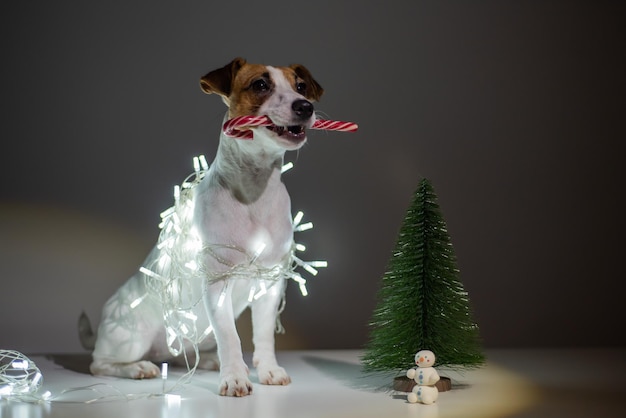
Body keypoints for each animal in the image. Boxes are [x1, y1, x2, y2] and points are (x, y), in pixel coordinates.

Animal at [80, 58, 324, 396]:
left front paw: (268, 369)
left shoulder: (269, 284)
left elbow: (263, 335)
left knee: (181, 355)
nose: (305, 106)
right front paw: (234, 377)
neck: (255, 191)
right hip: (130, 336)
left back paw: (206, 360)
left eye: (300, 86)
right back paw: (139, 367)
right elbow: (231, 336)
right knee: (100, 363)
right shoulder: (217, 283)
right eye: (260, 85)